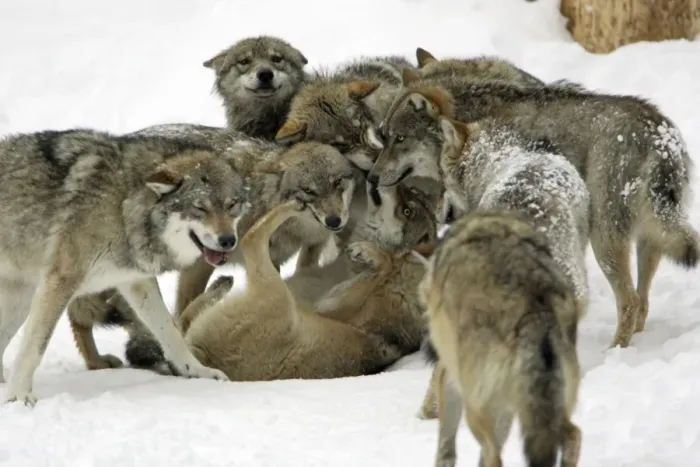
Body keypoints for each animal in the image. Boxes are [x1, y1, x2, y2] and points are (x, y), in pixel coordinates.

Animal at [0, 129, 249, 405]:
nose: (228, 240)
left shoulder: (136, 280)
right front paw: (19, 396)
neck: (123, 205)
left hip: (20, 297)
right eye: (200, 208)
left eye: (231, 204)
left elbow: (169, 330)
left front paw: (196, 371)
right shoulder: (61, 281)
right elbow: (35, 345)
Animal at [367, 70, 700, 348]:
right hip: (651, 237)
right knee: (642, 300)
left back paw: (614, 351)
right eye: (383, 138)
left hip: (604, 242)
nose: (371, 177)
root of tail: (661, 136)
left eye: (399, 139)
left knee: (629, 300)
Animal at [419, 210, 582, 467]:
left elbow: (446, 445)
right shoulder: (508, 407)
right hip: (547, 407)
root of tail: (536, 310)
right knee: (573, 436)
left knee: (493, 456)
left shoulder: (449, 378)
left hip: (476, 409)